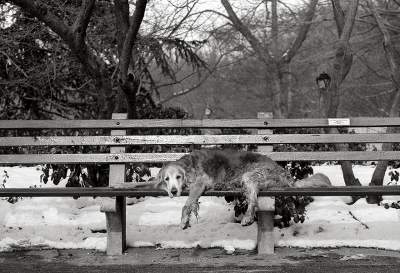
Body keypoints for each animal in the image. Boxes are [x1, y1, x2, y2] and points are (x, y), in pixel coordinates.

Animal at [153, 150, 332, 228]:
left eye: (178, 177)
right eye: (166, 179)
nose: (173, 192)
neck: (188, 165)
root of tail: (285, 174)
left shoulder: (200, 182)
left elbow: (187, 204)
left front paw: (184, 220)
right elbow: (191, 205)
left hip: (249, 176)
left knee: (253, 201)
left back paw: (247, 217)